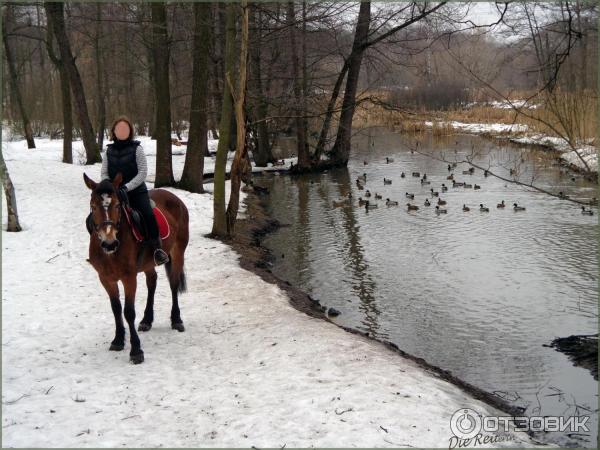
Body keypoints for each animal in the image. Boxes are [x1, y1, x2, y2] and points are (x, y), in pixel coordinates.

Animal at [83, 171, 189, 364]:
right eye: (93, 206)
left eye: (117, 205)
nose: (109, 243)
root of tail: (174, 197)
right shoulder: (106, 279)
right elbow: (116, 309)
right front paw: (118, 340)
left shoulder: (129, 277)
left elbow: (129, 312)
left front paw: (136, 350)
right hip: (148, 263)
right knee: (152, 282)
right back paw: (147, 320)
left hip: (178, 252)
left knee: (173, 284)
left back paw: (176, 319)